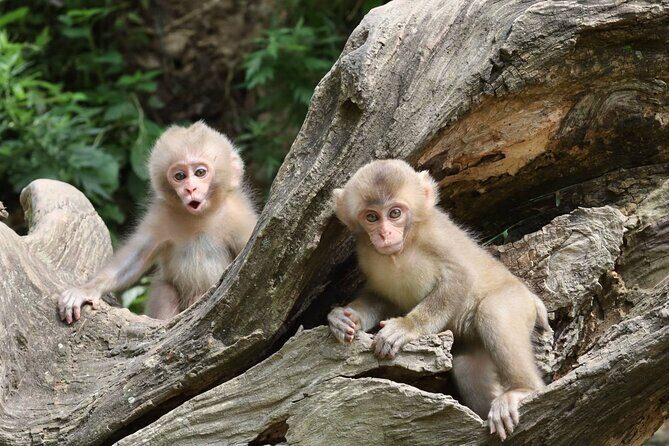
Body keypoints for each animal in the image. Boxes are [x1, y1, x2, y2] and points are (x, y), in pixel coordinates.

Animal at [58, 121, 258, 324]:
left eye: (200, 172)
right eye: (180, 176)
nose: (190, 189)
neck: (200, 217)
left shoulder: (239, 217)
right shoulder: (161, 215)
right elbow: (134, 259)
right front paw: (85, 291)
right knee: (165, 290)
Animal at [327, 159, 549, 441]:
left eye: (395, 213)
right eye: (371, 217)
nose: (385, 234)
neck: (403, 247)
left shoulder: (436, 235)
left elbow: (461, 277)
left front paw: (405, 327)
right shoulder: (367, 254)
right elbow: (380, 297)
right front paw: (344, 318)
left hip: (518, 301)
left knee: (494, 312)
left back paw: (522, 391)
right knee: (466, 367)